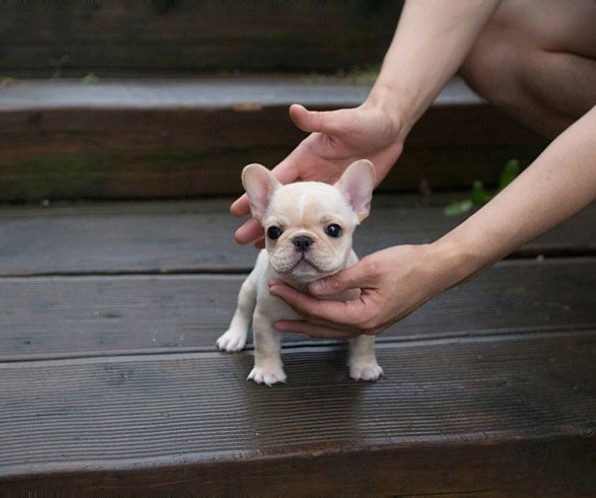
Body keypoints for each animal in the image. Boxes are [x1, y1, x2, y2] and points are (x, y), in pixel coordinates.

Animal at [216, 159, 383, 385]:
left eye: (334, 230)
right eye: (273, 232)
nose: (302, 239)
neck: (305, 282)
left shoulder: (362, 319)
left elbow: (365, 343)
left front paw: (365, 367)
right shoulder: (265, 317)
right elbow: (265, 346)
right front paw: (267, 372)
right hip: (249, 288)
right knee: (242, 311)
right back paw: (233, 337)